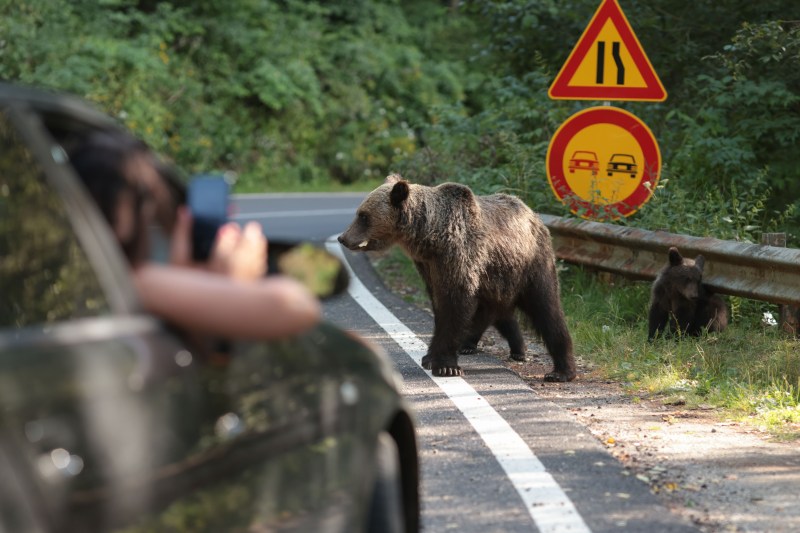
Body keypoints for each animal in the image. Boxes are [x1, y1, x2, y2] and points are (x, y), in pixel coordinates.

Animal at [338, 172, 576, 380]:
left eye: (363, 216)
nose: (343, 238)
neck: (430, 237)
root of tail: (534, 215)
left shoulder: (459, 256)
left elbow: (455, 305)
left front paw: (444, 365)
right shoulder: (429, 267)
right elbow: (440, 306)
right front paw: (430, 357)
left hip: (530, 265)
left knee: (545, 307)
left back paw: (561, 371)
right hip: (496, 277)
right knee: (496, 311)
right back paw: (504, 347)